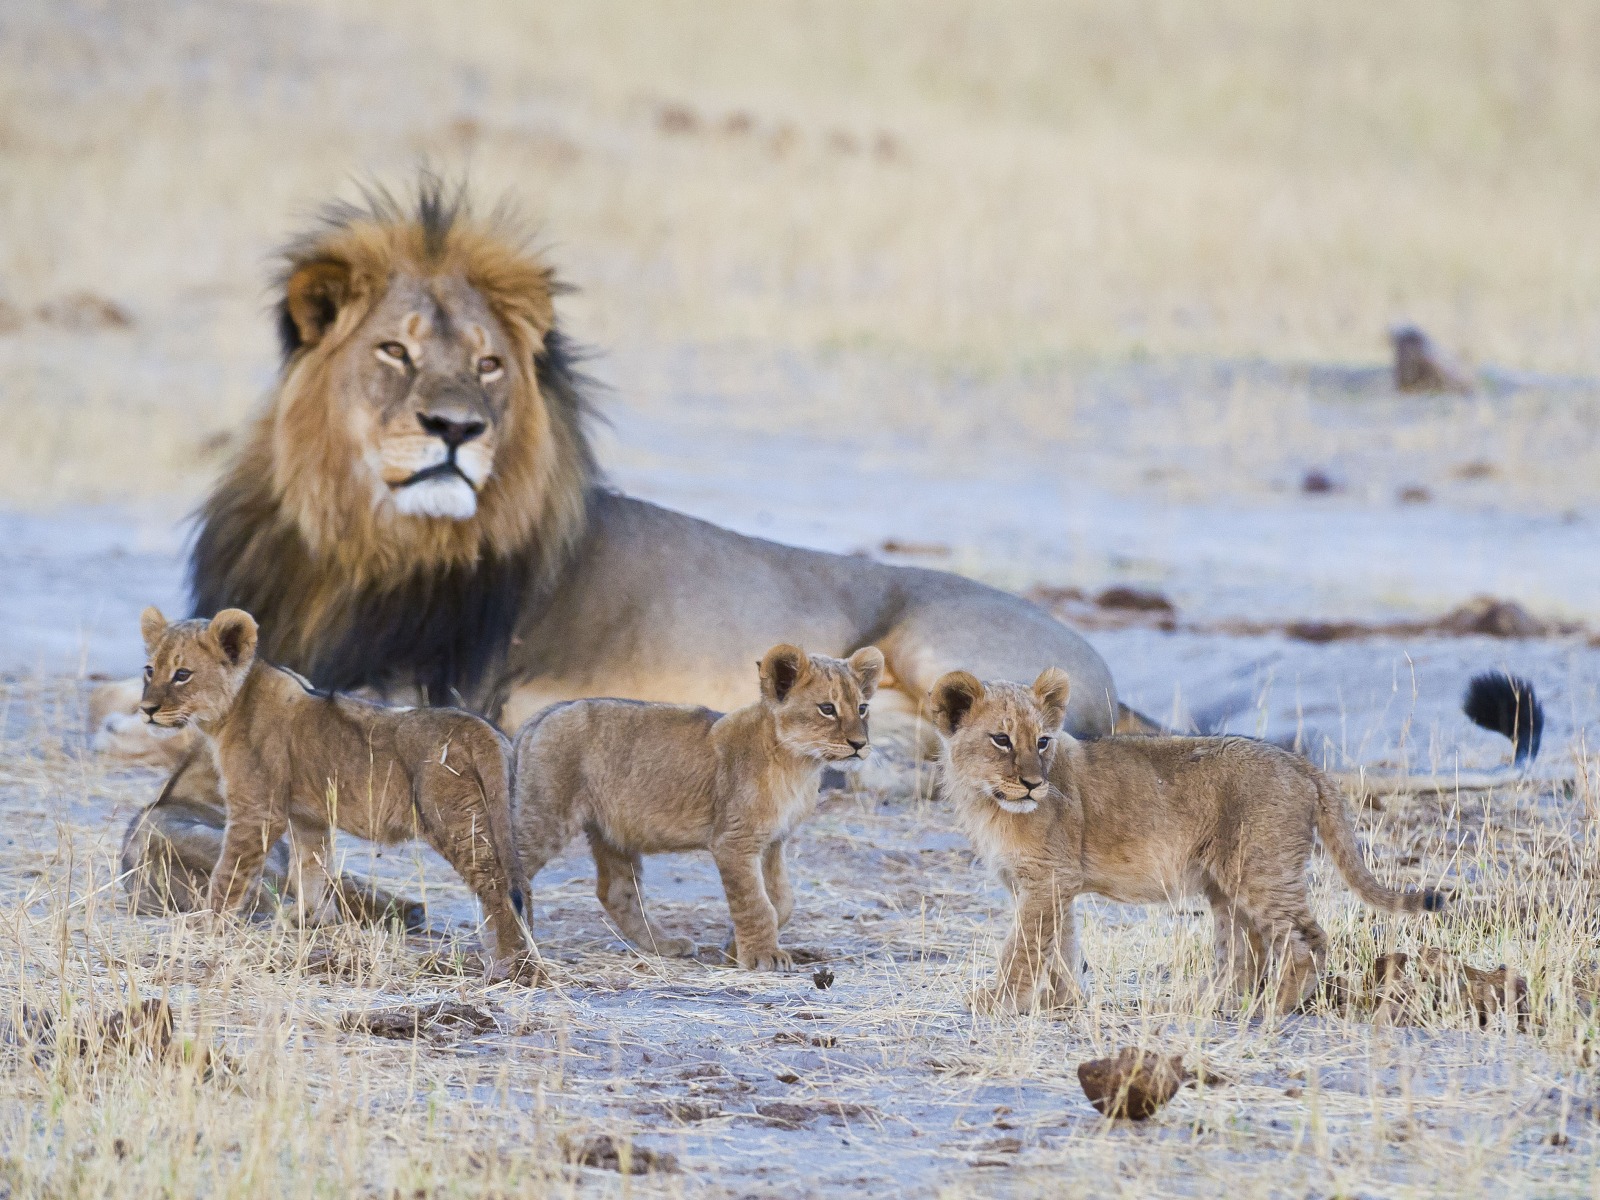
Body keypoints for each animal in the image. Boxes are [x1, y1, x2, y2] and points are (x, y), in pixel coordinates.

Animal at [100, 173, 1137, 911]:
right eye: (393, 350)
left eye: (488, 364)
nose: (455, 429)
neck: (359, 545)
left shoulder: (428, 692)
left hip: (936, 647)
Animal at [137, 605, 531, 970]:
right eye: (150, 670)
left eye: (182, 674)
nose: (146, 709)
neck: (231, 708)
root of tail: (481, 727)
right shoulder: (307, 818)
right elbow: (310, 869)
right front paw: (308, 922)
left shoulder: (257, 812)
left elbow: (228, 875)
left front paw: (206, 925)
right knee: (519, 884)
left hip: (456, 822)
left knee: (496, 887)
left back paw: (508, 962)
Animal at [510, 644, 883, 970]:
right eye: (827, 708)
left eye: (862, 708)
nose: (859, 745)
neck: (799, 765)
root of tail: (539, 718)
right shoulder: (734, 841)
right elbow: (756, 902)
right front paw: (763, 957)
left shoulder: (774, 841)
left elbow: (782, 901)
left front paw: (734, 948)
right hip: (546, 816)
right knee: (508, 869)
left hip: (611, 831)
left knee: (616, 892)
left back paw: (665, 945)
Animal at [930, 668, 1446, 1014]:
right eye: (1001, 739)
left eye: (1042, 741)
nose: (1033, 784)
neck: (987, 801)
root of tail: (1301, 763)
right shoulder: (1051, 884)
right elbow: (1061, 946)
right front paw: (1064, 1002)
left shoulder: (1047, 879)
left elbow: (1023, 947)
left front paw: (995, 1001)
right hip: (1226, 885)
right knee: (1243, 953)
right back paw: (1202, 1003)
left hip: (1261, 869)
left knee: (1306, 939)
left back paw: (1273, 1007)